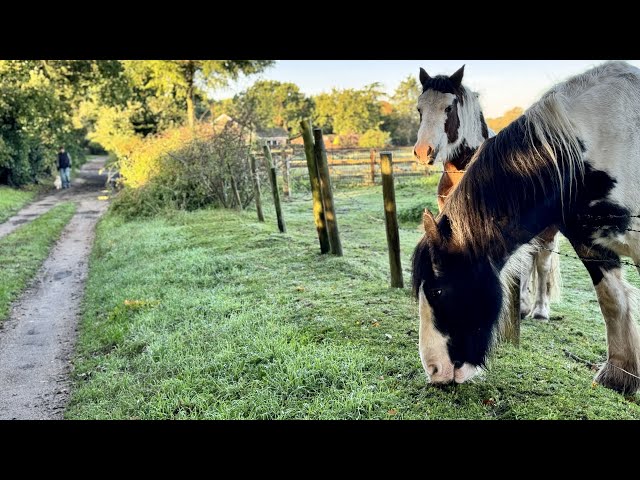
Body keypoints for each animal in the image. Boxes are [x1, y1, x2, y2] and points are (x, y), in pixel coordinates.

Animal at [416, 62, 560, 318]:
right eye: (419, 109)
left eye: (448, 108)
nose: (423, 151)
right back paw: (523, 305)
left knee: (542, 261)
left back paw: (540, 309)